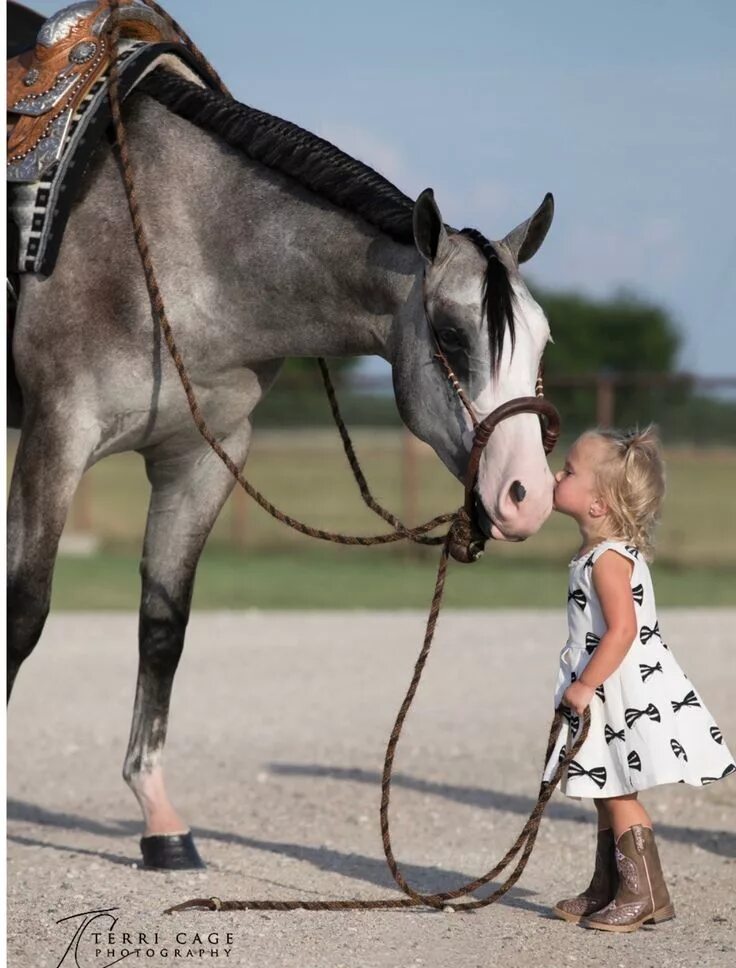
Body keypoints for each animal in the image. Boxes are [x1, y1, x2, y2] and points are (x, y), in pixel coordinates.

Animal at [7, 4, 557, 868]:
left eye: (543, 342)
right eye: (449, 334)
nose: (526, 496)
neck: (173, 232)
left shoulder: (202, 458)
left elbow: (163, 626)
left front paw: (161, 823)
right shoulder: (55, 437)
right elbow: (24, 615)